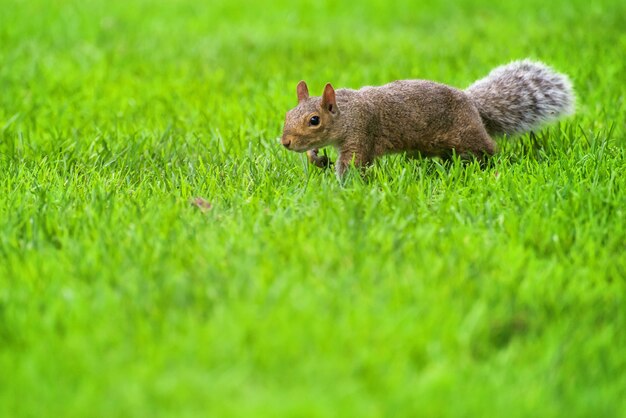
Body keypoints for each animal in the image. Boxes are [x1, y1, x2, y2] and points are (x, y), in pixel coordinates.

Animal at [280, 59, 572, 177]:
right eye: (287, 114)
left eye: (314, 120)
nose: (285, 143)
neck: (347, 112)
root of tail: (472, 103)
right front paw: (316, 159)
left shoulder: (361, 133)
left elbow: (351, 165)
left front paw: (340, 189)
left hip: (467, 134)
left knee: (488, 148)